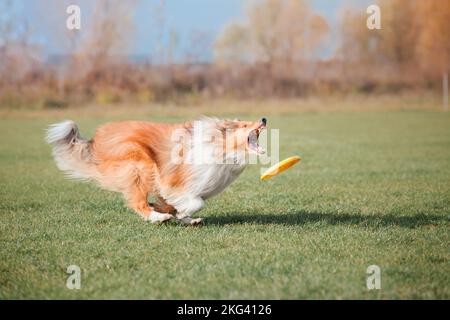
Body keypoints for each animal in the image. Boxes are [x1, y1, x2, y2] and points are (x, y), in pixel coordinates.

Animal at [47, 117, 268, 225]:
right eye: (245, 125)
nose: (264, 119)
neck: (220, 149)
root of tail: (96, 141)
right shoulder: (176, 182)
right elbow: (195, 203)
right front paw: (174, 214)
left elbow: (177, 205)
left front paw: (183, 217)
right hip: (139, 165)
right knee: (137, 203)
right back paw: (157, 218)